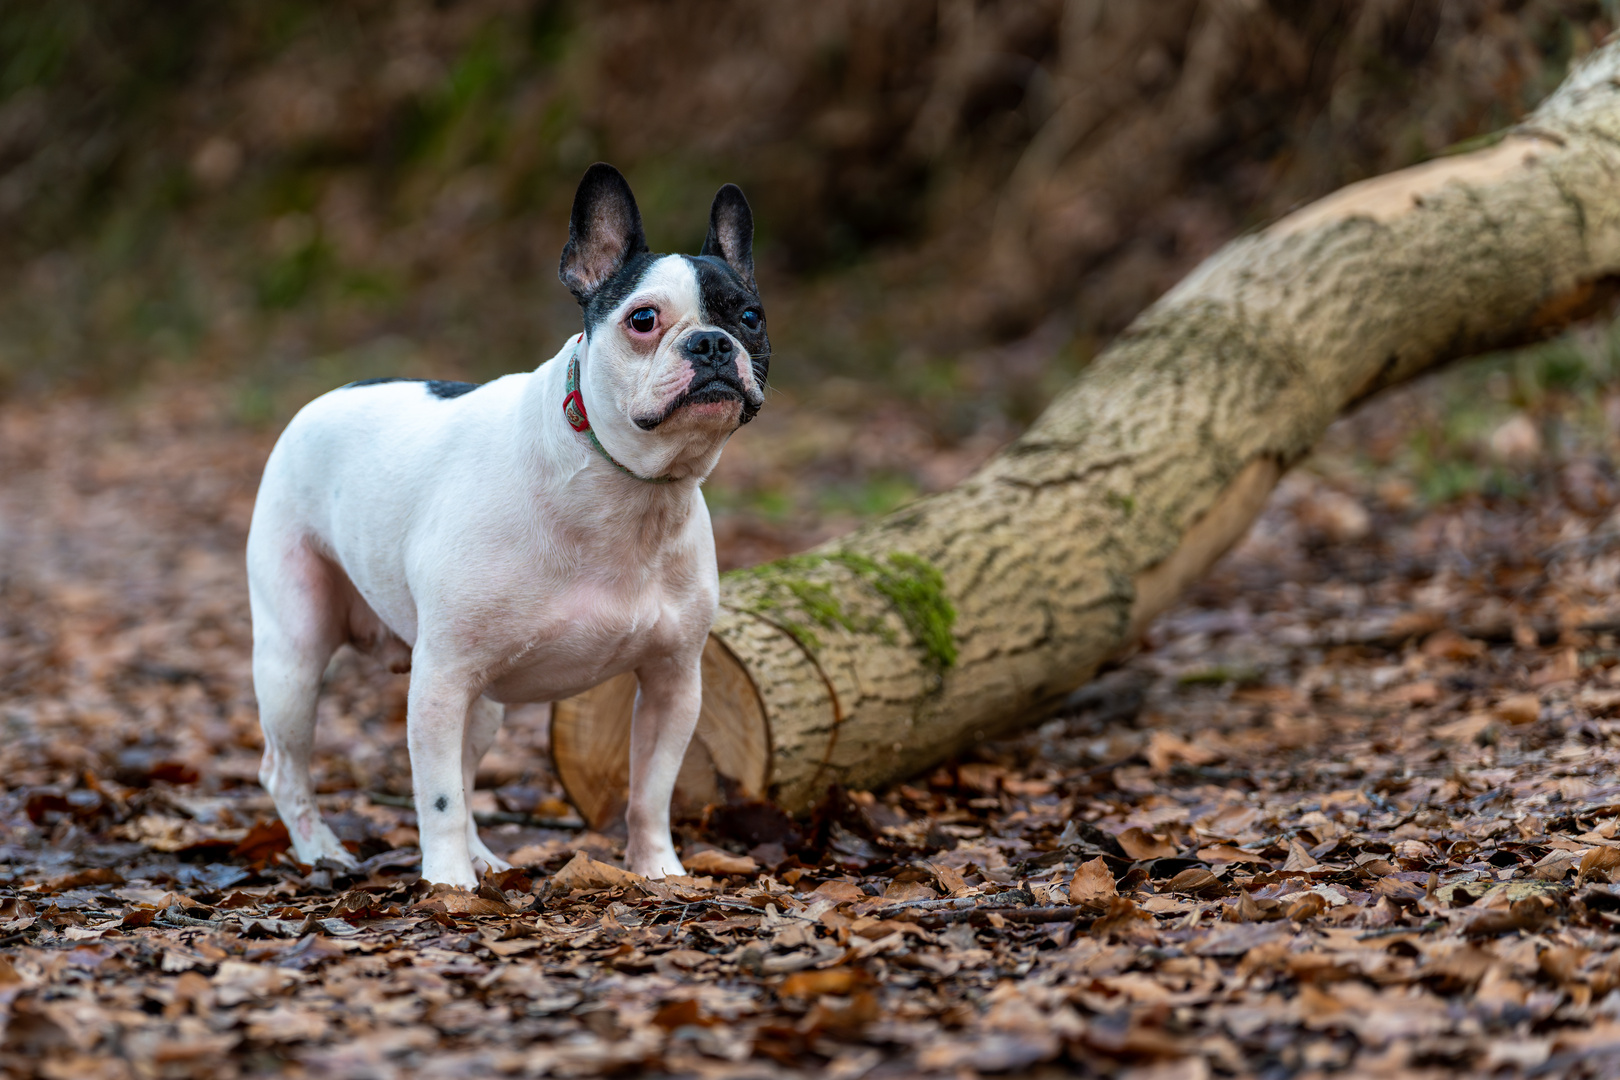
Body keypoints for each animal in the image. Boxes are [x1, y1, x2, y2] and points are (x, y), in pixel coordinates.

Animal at [244, 162, 764, 887]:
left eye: (750, 316)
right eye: (643, 319)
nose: (712, 342)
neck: (624, 490)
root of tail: (328, 395)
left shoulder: (674, 680)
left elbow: (652, 788)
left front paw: (658, 869)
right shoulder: (442, 677)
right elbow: (436, 794)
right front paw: (447, 885)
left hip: (483, 704)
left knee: (467, 773)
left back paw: (485, 859)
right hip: (293, 656)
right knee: (286, 766)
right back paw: (323, 851)